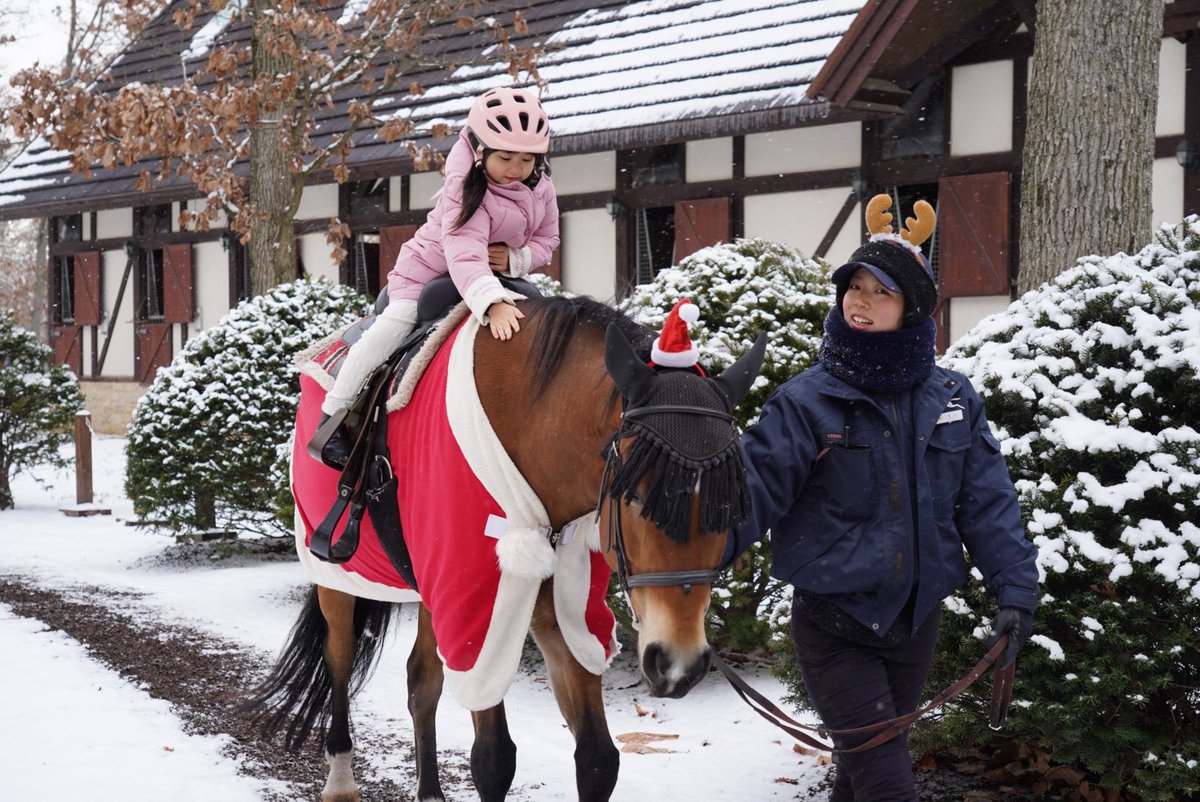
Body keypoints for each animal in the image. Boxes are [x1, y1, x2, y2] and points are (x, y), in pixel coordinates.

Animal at [244, 293, 766, 802]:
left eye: (730, 502)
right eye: (636, 494)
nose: (679, 664)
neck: (535, 430)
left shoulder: (565, 603)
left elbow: (598, 760)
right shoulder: (478, 604)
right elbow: (494, 761)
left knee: (421, 680)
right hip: (335, 571)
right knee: (339, 655)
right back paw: (340, 778)